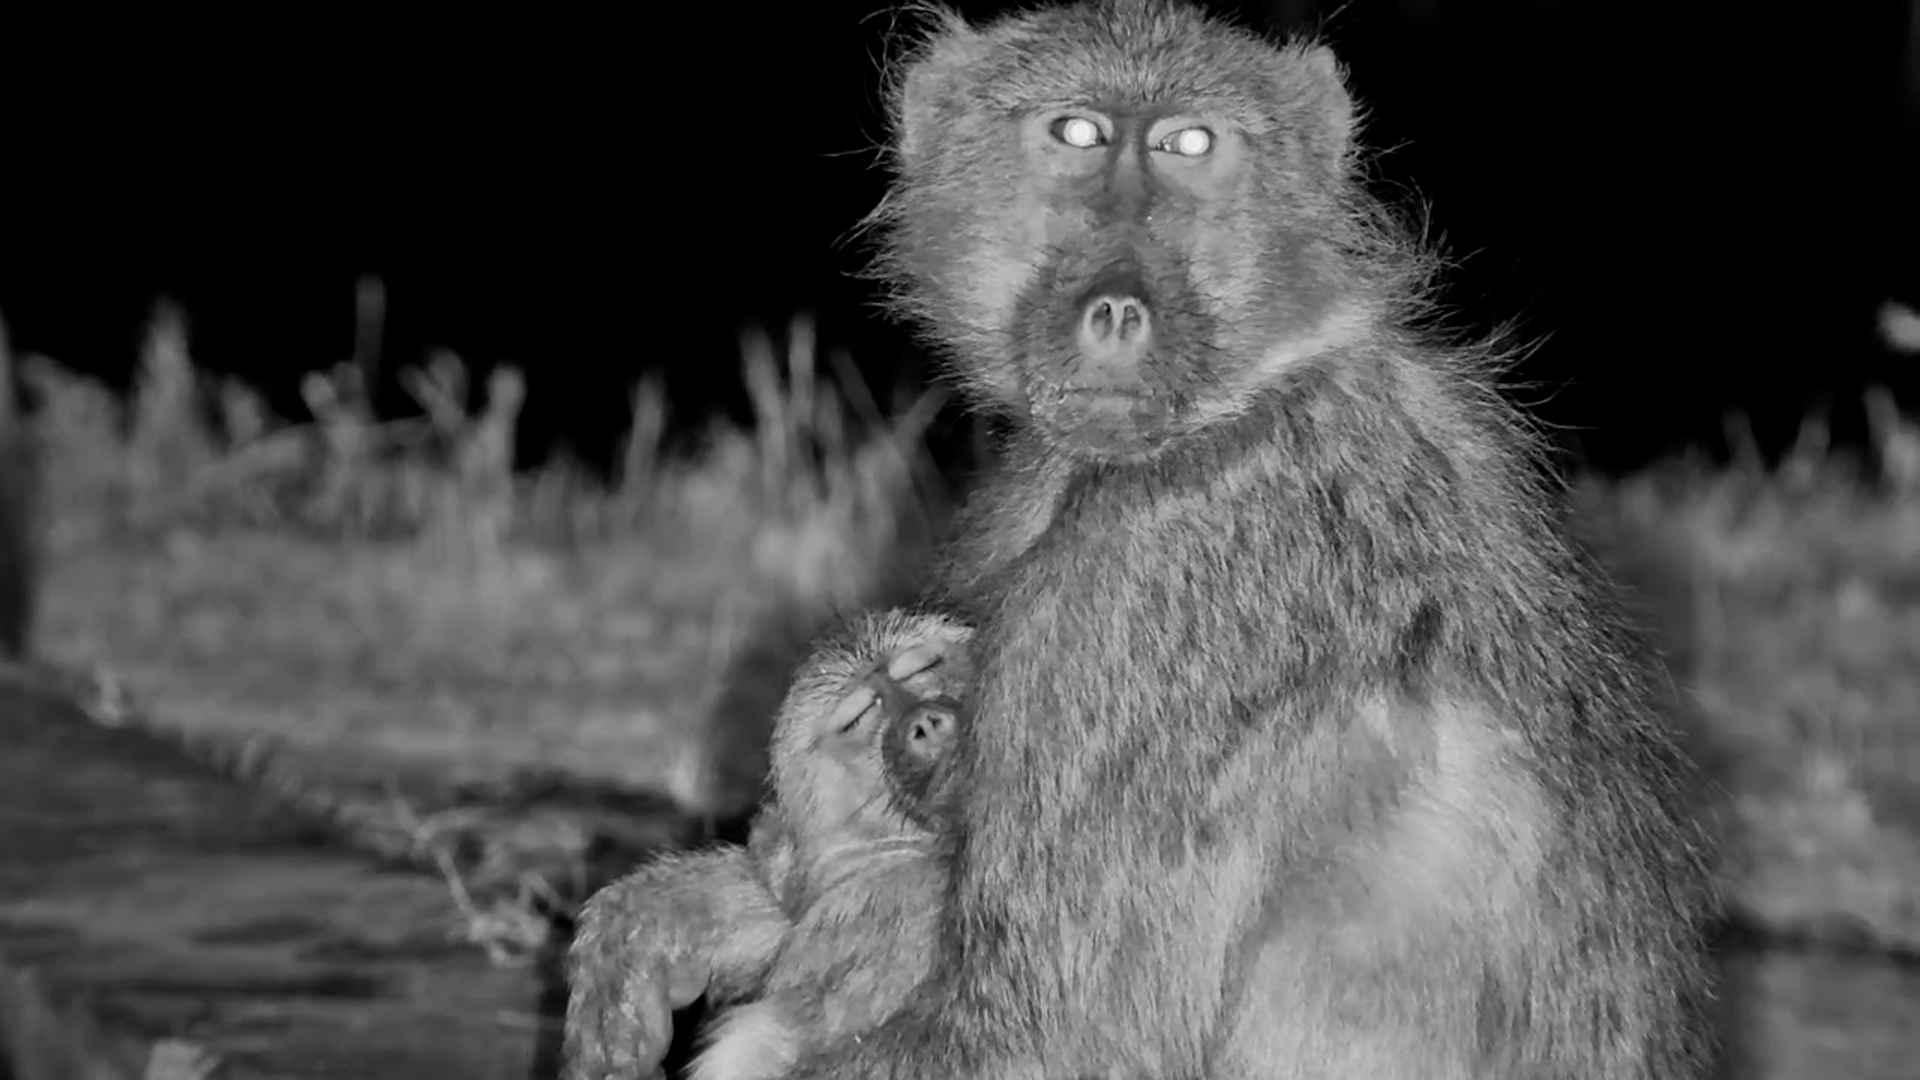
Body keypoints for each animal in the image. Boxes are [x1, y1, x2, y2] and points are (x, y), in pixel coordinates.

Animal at [722, 2, 1708, 1078]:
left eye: (1188, 145)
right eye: (1078, 133)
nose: (1118, 312)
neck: (1251, 389)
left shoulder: (1154, 593)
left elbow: (1050, 1034)